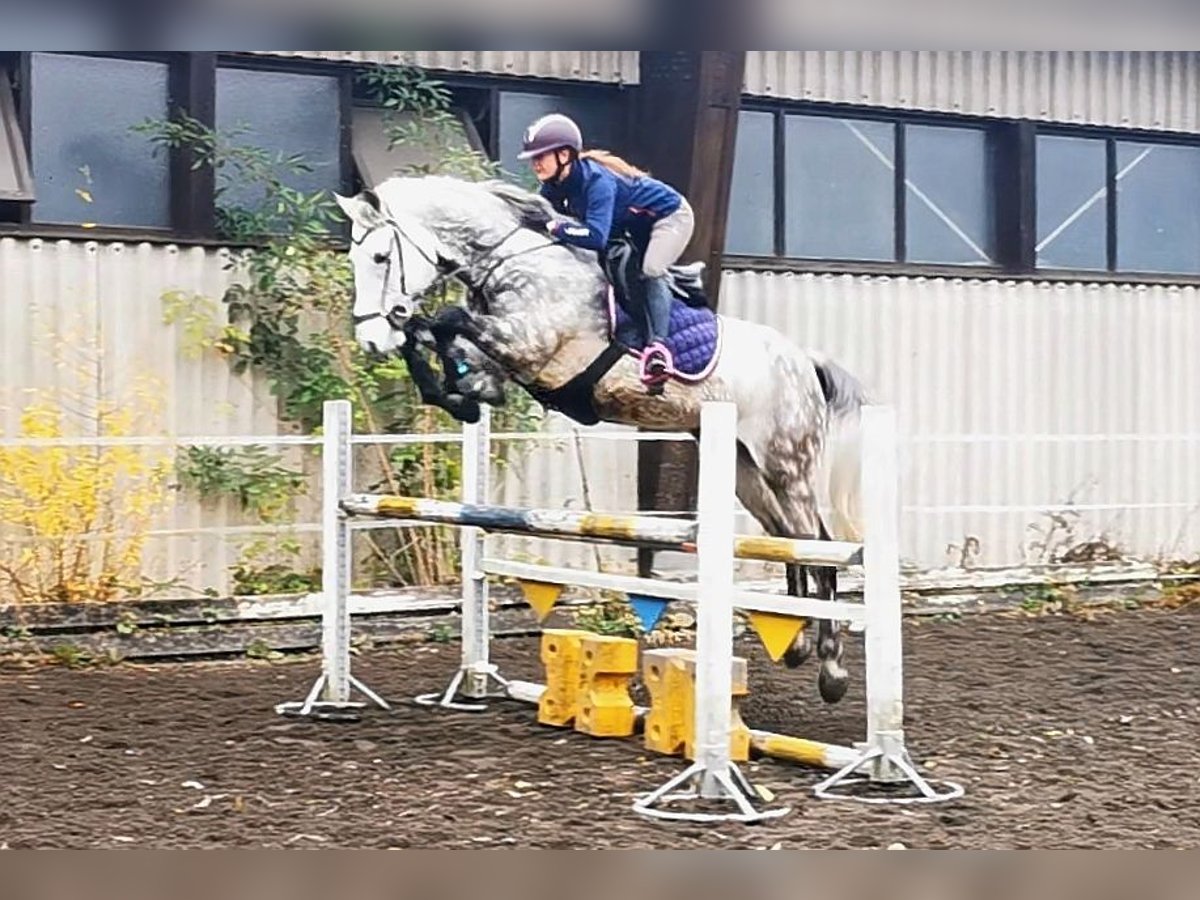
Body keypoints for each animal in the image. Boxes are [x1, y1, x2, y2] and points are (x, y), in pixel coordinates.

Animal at [333, 176, 868, 710]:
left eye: (380, 256)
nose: (371, 340)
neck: (514, 259)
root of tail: (804, 361)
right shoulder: (503, 356)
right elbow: (439, 341)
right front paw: (454, 394)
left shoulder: (526, 344)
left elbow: (446, 318)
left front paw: (442, 372)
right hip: (743, 468)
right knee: (786, 539)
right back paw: (796, 646)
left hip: (787, 462)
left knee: (819, 546)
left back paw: (832, 670)